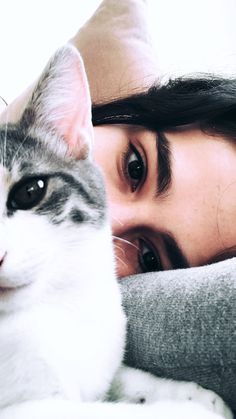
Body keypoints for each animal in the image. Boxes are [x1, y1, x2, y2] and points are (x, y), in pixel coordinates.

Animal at [0, 44, 232, 418]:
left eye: (30, 191)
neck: (54, 304)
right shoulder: (29, 406)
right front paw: (192, 409)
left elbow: (117, 379)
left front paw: (194, 395)